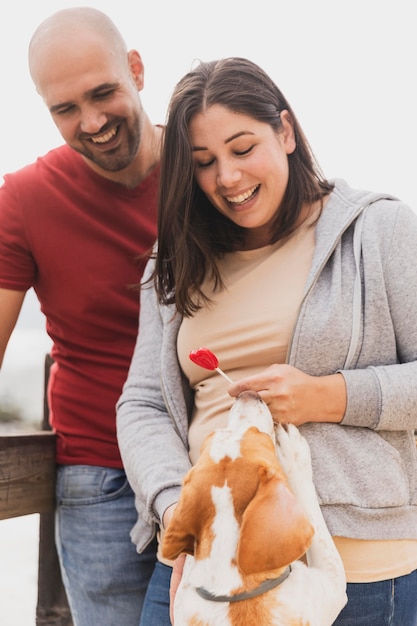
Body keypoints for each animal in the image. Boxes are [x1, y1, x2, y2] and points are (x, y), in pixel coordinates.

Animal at [161, 388, 346, 620]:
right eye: (260, 435)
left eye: (215, 434)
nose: (247, 393)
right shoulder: (333, 582)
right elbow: (310, 505)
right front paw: (293, 451)